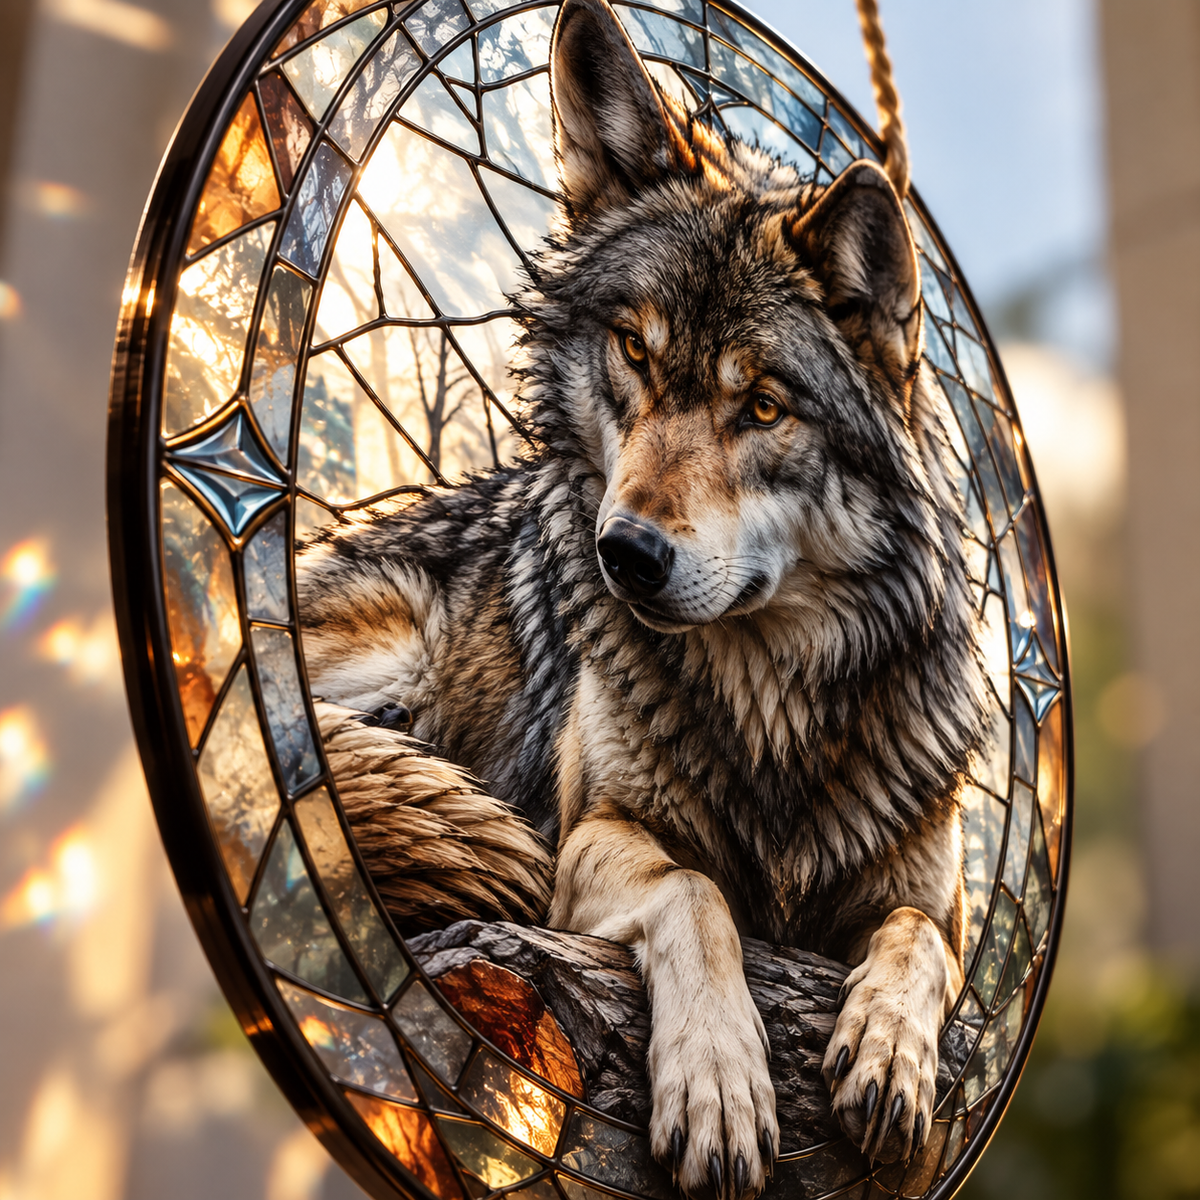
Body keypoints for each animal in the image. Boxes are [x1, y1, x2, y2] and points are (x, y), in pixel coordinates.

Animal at [297, 1, 988, 1194]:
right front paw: (718, 1086)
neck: (773, 704)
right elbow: (696, 894)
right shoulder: (590, 844)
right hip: (390, 660)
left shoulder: (932, 895)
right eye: (632, 349)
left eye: (764, 406)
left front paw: (891, 1055)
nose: (624, 553)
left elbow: (921, 943)